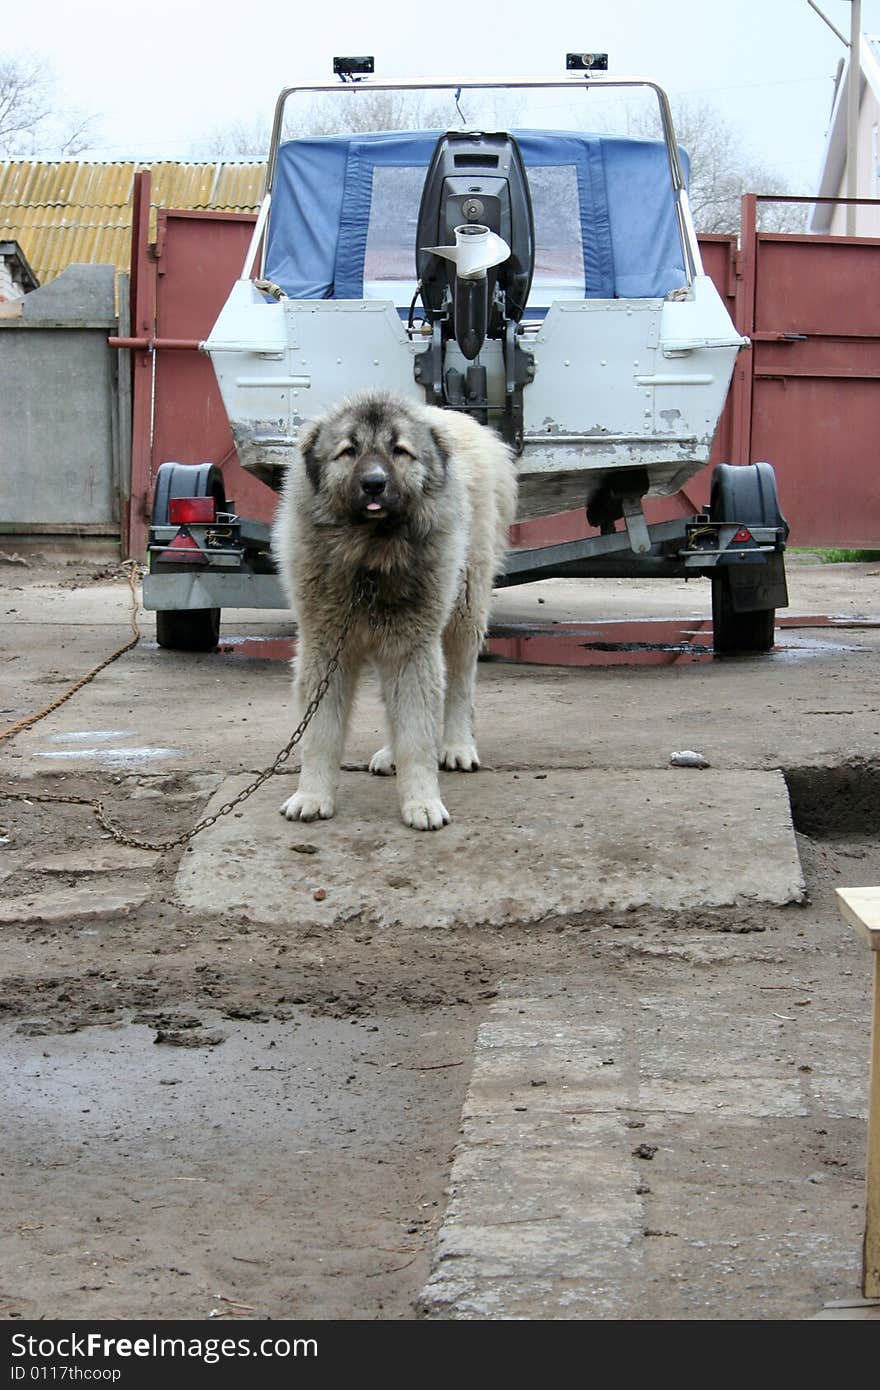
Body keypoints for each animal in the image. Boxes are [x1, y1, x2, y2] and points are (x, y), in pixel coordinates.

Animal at [271, 386, 517, 828]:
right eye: (349, 451)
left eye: (400, 451)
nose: (374, 483)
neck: (369, 559)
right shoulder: (326, 649)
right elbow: (319, 734)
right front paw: (312, 796)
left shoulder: (413, 648)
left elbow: (417, 735)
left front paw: (422, 802)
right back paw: (389, 754)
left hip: (463, 609)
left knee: (460, 684)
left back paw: (457, 746)